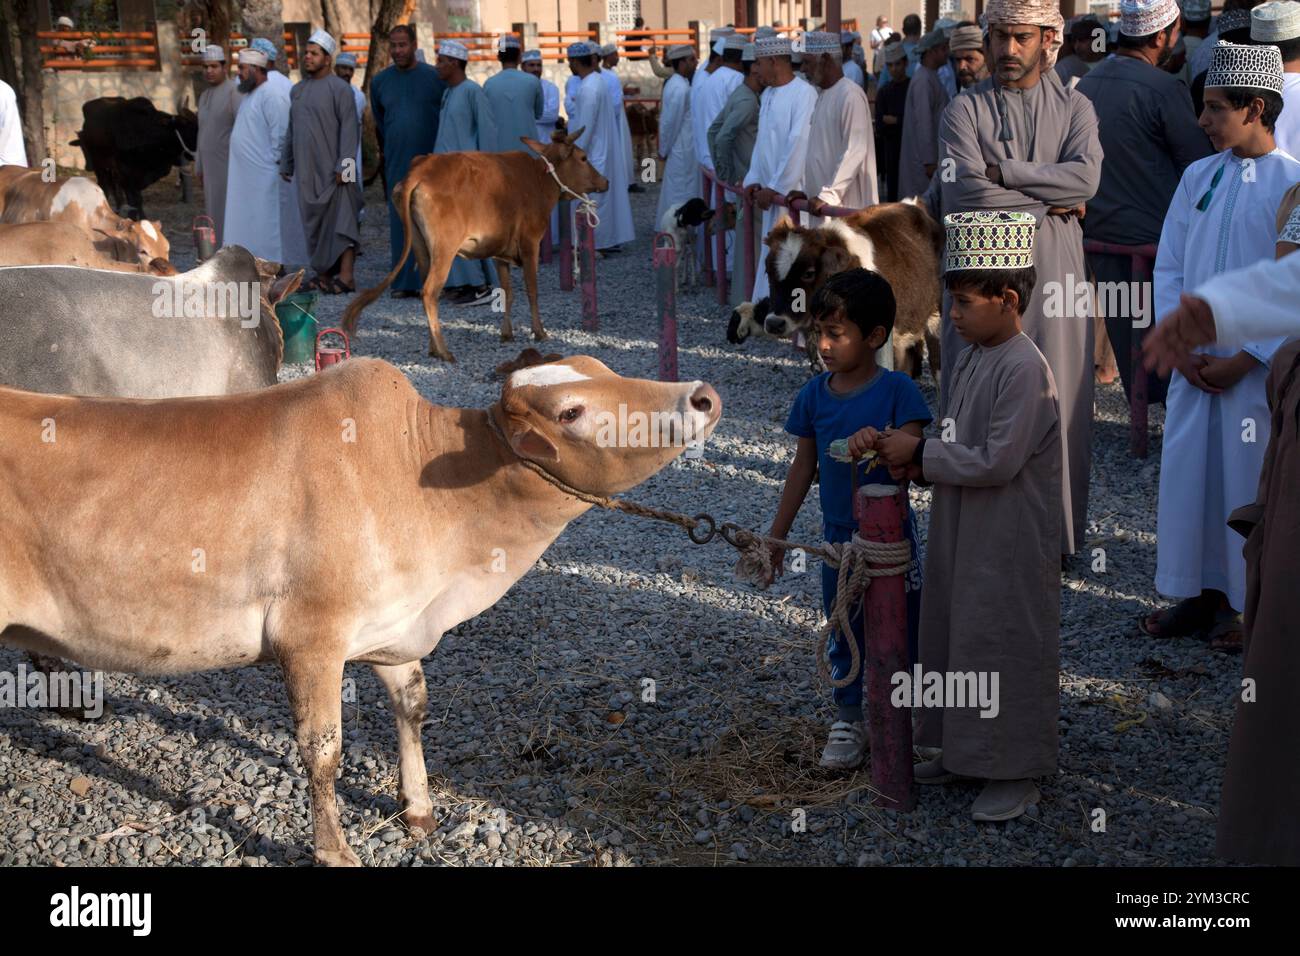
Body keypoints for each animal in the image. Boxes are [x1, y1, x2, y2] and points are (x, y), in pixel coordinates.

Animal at [0, 356, 722, 868]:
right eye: (572, 410)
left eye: (602, 368)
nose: (703, 397)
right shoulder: (311, 636)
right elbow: (323, 751)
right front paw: (335, 849)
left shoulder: (392, 629)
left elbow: (412, 706)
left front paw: (419, 808)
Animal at [343, 130, 611, 361]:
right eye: (583, 157)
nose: (606, 181)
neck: (538, 181)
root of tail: (419, 171)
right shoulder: (530, 243)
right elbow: (531, 290)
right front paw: (540, 331)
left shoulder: (500, 253)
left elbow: (508, 292)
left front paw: (507, 333)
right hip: (444, 249)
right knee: (429, 291)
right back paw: (443, 351)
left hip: (421, 248)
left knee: (424, 290)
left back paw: (432, 347)